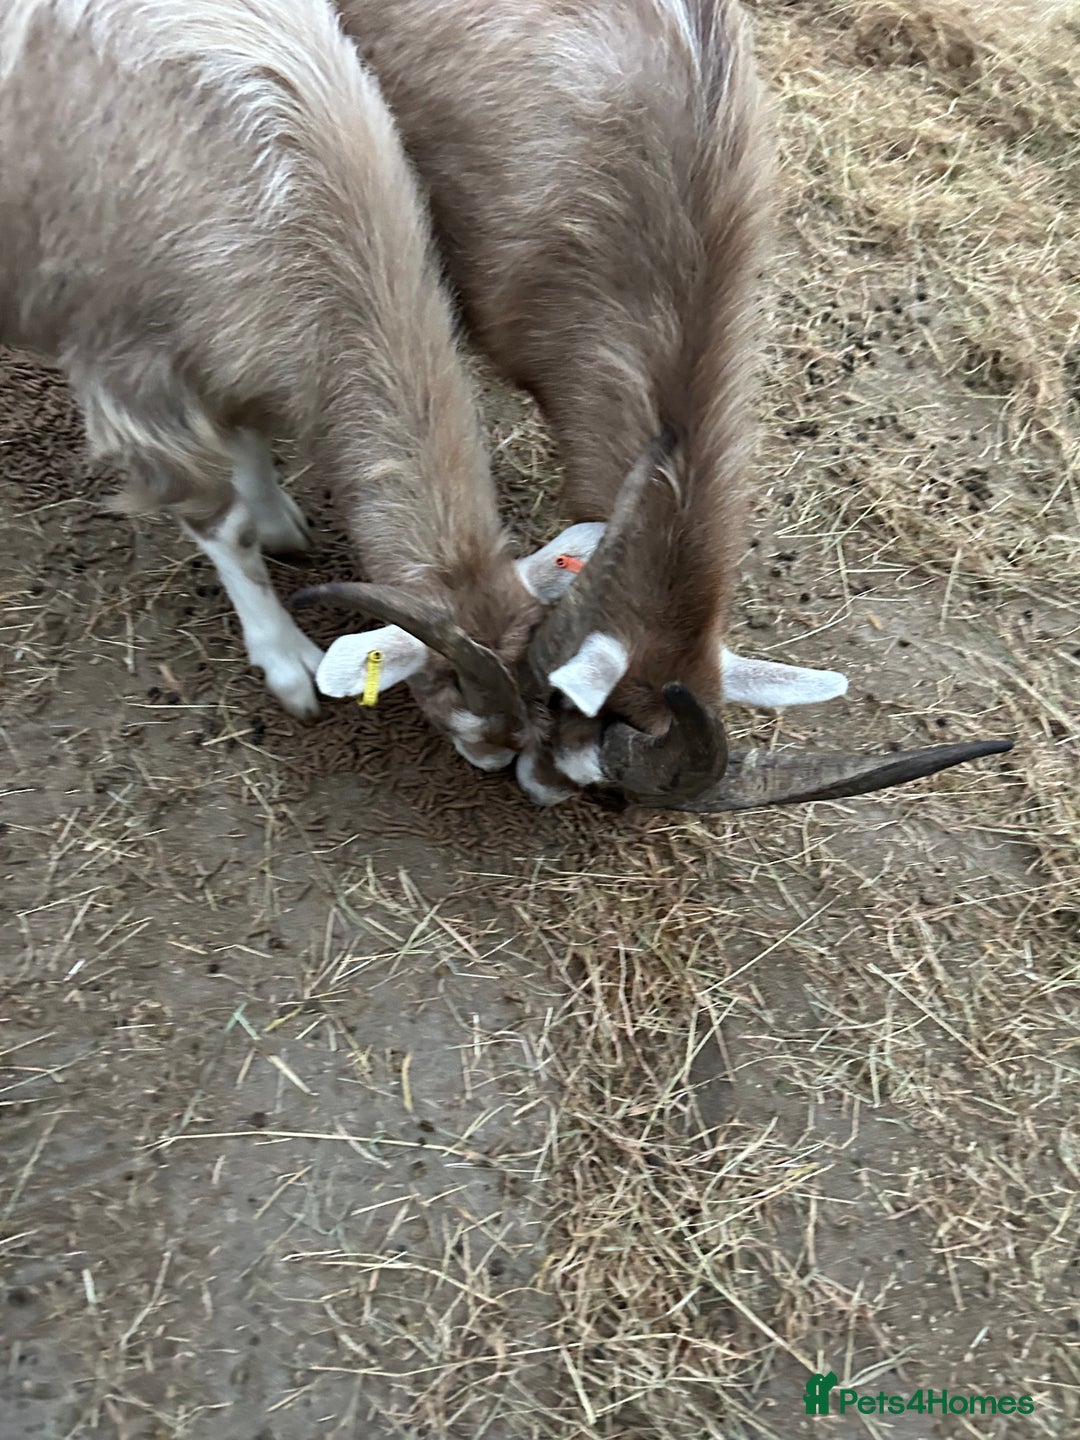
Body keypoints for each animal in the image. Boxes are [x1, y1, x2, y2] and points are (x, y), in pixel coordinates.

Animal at [0, 0, 595, 774]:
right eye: (459, 707)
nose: (494, 762)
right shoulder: (134, 374)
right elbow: (225, 526)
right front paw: (286, 661)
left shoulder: (236, 341)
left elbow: (250, 433)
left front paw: (279, 516)